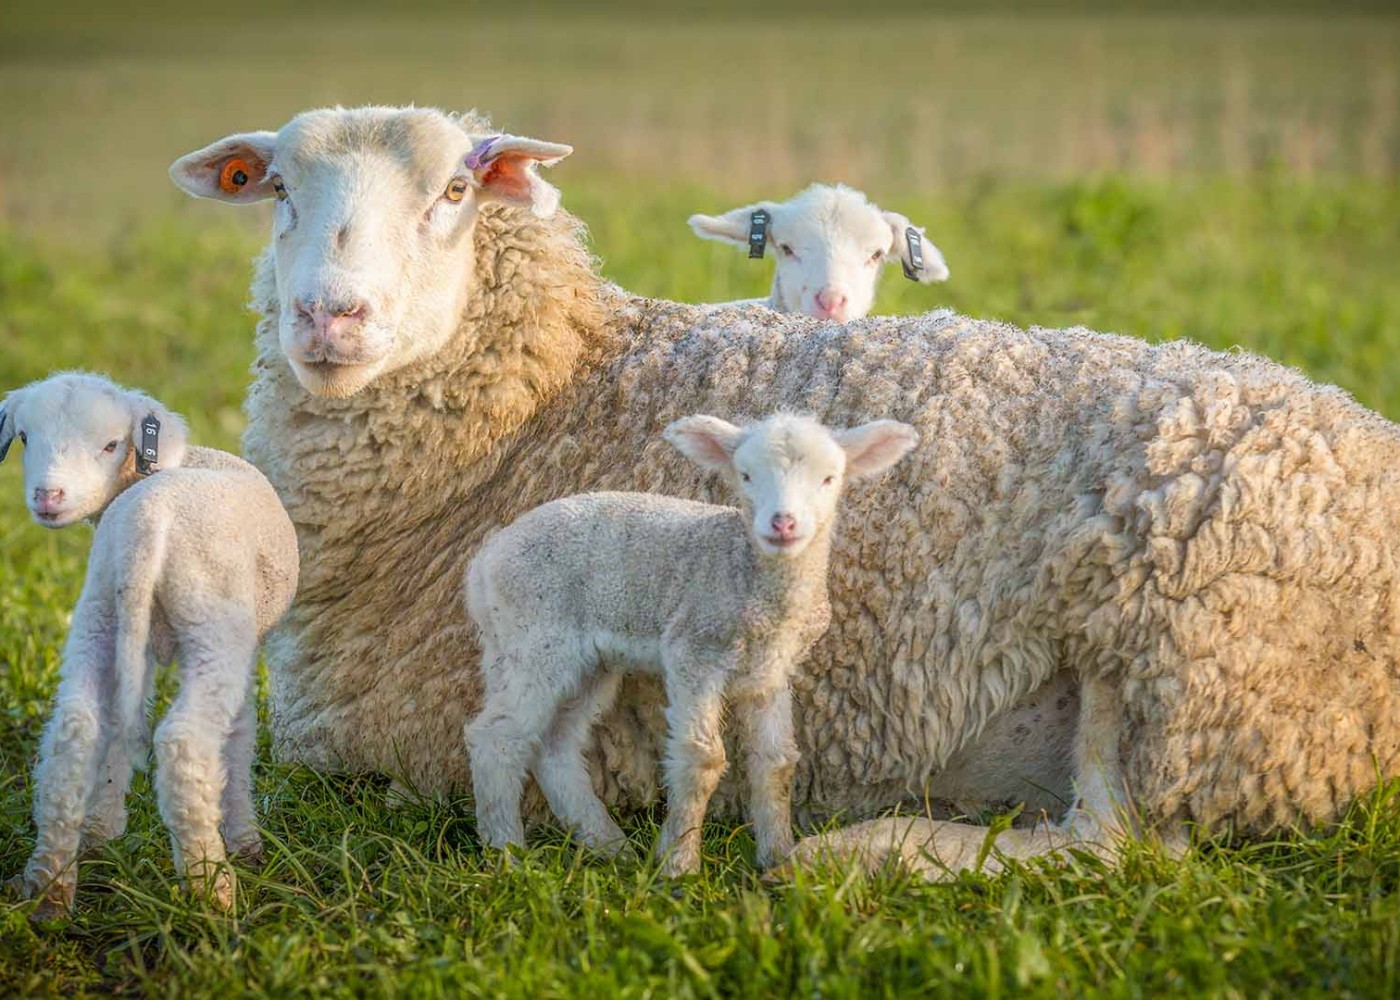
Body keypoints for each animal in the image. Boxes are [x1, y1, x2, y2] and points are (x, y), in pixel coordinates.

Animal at [1, 369, 298, 913]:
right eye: (26, 438)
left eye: (111, 444)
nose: (48, 496)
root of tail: (148, 524)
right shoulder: (243, 644)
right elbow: (241, 735)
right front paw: (246, 839)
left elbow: (123, 721)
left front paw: (102, 829)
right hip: (213, 623)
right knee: (184, 742)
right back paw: (212, 890)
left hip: (101, 610)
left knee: (76, 731)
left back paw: (50, 888)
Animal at [467, 411, 918, 873]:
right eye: (745, 475)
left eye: (829, 478)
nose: (783, 523)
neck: (748, 576)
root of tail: (484, 562)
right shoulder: (694, 650)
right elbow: (703, 758)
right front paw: (679, 862)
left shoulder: (770, 672)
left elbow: (776, 763)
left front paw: (777, 858)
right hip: (534, 637)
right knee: (496, 737)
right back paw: (506, 855)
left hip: (580, 659)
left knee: (555, 747)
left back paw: (611, 847)